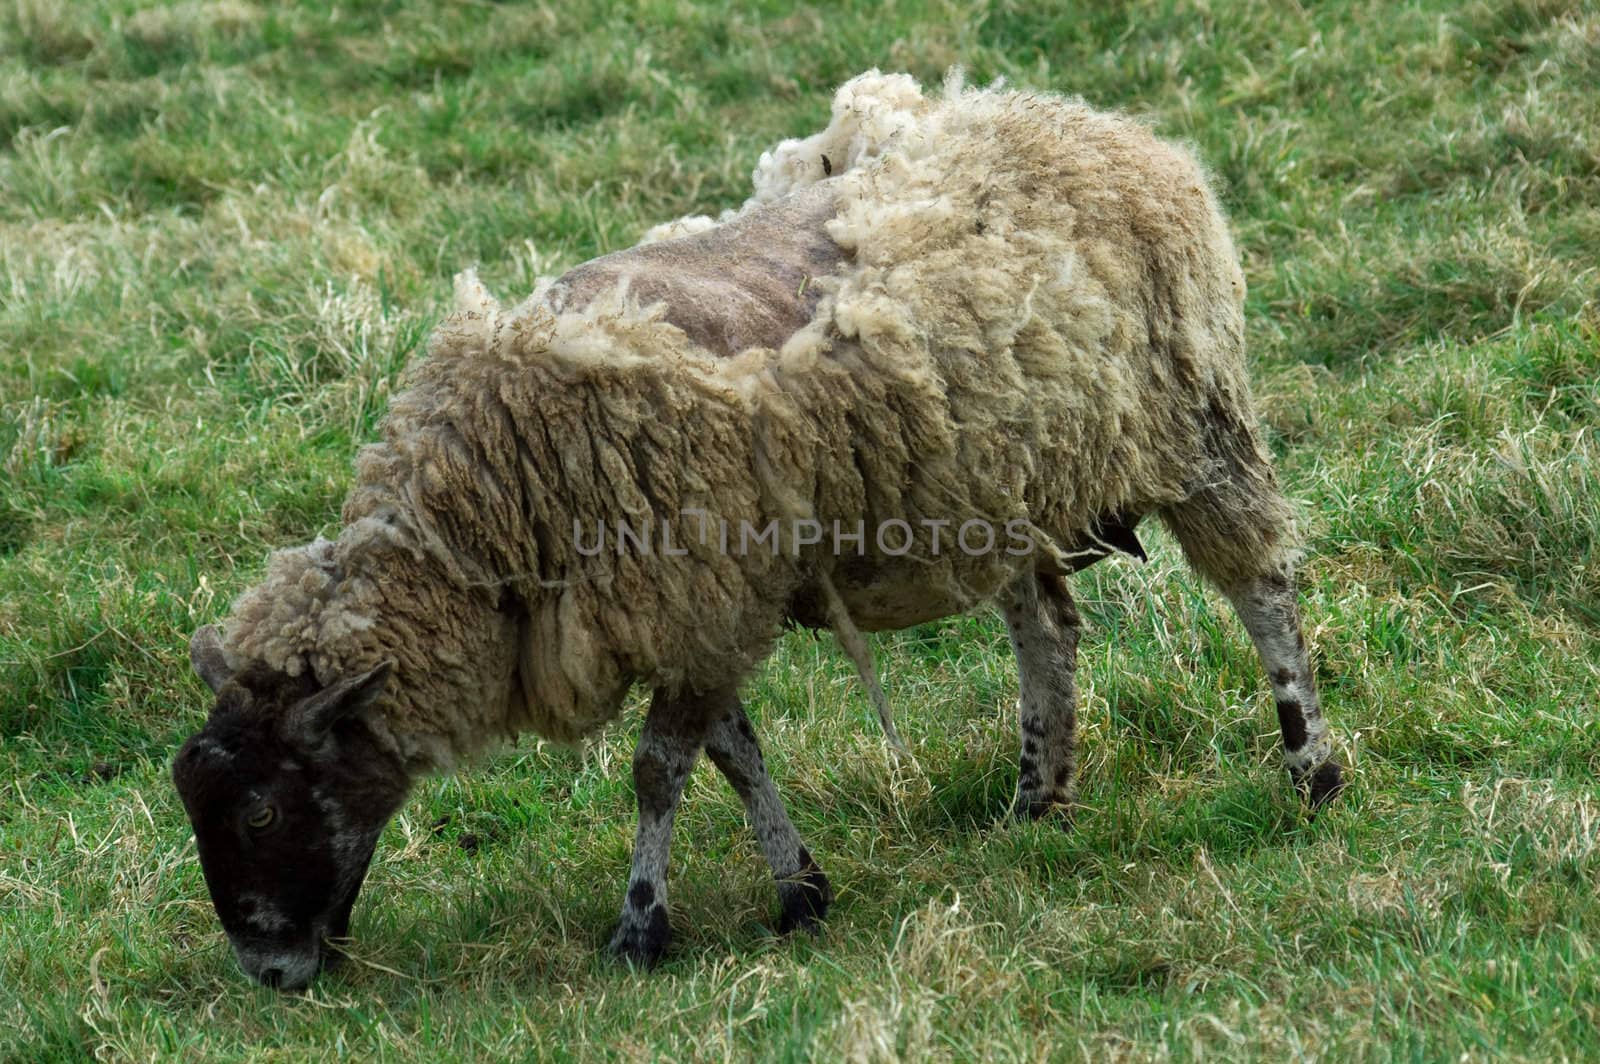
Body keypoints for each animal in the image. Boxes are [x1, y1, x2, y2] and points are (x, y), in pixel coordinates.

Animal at [172, 70, 1337, 992]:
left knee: (1260, 584)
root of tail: (1103, 126)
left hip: (1193, 420)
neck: (494, 509)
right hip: (998, 486)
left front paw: (641, 929)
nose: (269, 973)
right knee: (1047, 629)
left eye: (264, 811)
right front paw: (799, 889)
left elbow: (658, 770)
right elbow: (734, 754)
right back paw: (1033, 797)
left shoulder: (699, 593)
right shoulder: (699, 608)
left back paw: (1310, 768)